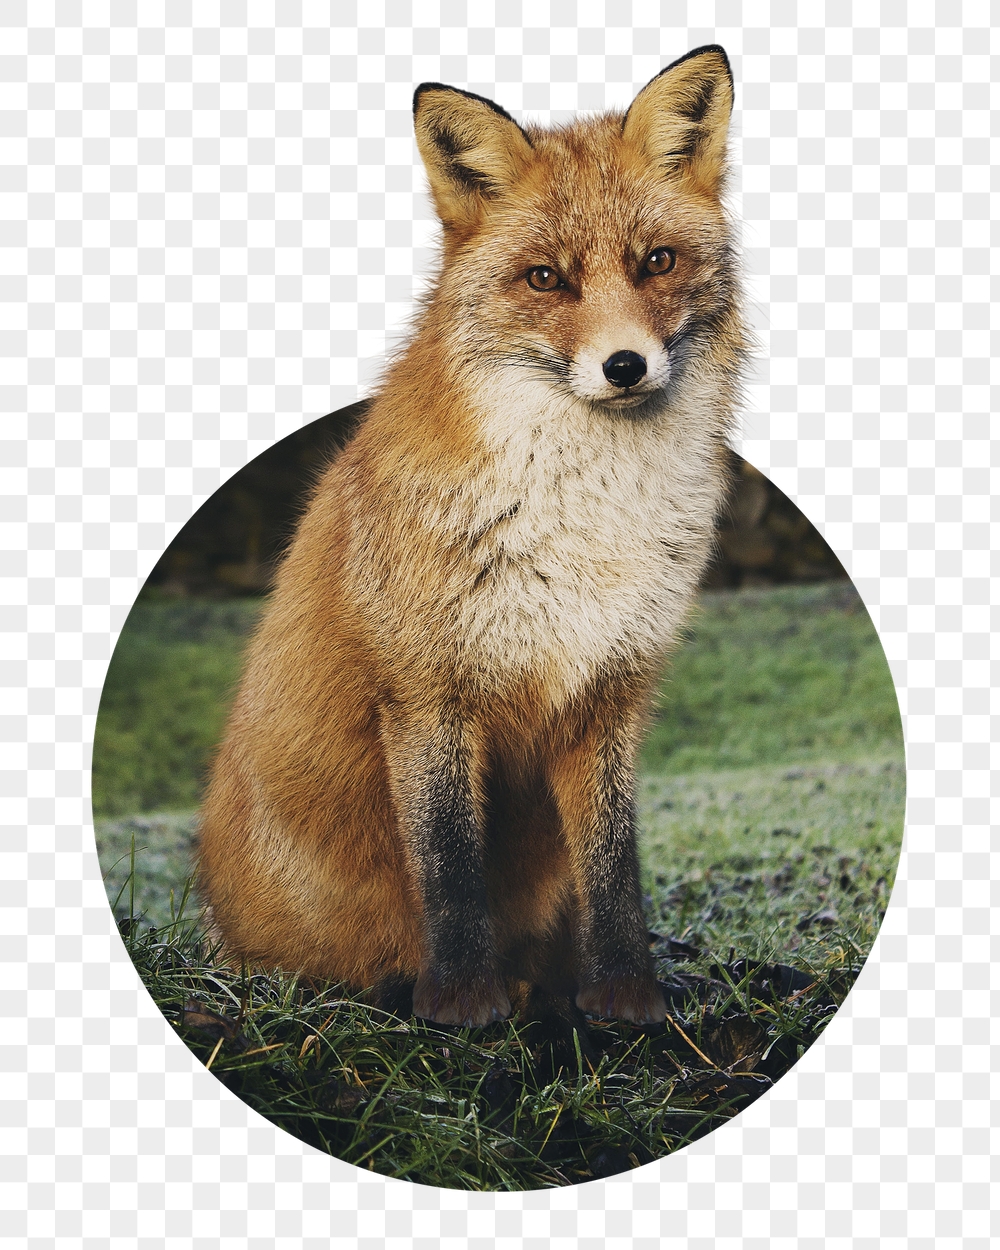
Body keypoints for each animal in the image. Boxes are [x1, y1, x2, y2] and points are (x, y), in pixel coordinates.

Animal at [197, 45, 747, 1029]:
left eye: (656, 262)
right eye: (545, 279)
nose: (625, 366)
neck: (582, 527)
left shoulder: (609, 693)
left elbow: (616, 872)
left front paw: (625, 999)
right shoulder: (427, 695)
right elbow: (450, 869)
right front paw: (459, 1006)